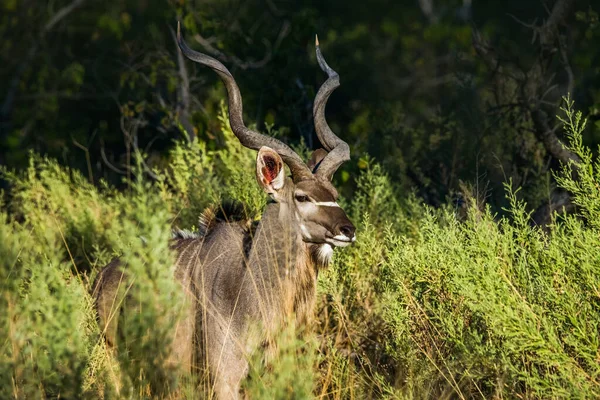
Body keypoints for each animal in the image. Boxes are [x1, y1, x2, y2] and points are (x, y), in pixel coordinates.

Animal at [92, 23, 356, 398]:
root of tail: (102, 276)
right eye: (303, 197)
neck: (247, 285)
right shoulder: (224, 379)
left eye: (333, 193)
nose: (347, 230)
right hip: (117, 360)